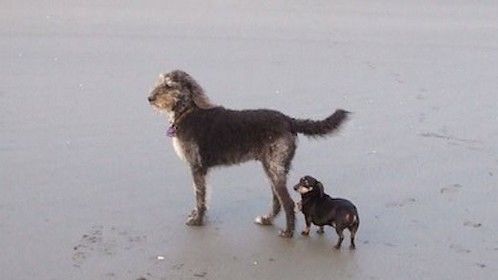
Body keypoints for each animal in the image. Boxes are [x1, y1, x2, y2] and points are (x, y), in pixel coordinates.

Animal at [148, 70, 350, 236]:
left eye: (169, 85)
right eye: (159, 82)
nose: (149, 98)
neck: (187, 111)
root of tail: (288, 120)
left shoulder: (197, 167)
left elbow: (200, 196)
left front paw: (198, 220)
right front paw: (196, 215)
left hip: (274, 168)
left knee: (288, 203)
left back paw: (288, 232)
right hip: (273, 168)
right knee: (277, 201)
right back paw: (267, 220)